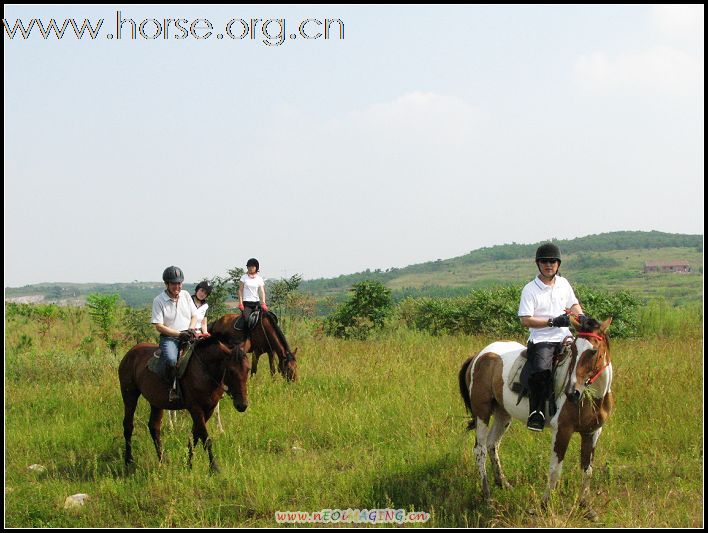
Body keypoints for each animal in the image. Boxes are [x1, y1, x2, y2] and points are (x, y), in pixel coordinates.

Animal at [116, 334, 249, 472]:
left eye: (248, 369)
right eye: (231, 371)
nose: (242, 405)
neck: (204, 370)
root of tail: (130, 353)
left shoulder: (209, 410)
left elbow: (194, 437)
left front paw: (188, 464)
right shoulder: (195, 408)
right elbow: (206, 438)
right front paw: (214, 468)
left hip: (156, 402)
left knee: (154, 427)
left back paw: (162, 460)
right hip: (130, 394)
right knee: (128, 426)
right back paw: (129, 461)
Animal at [460, 314, 612, 516]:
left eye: (593, 351)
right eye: (573, 350)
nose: (572, 393)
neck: (593, 398)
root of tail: (479, 356)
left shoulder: (593, 432)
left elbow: (587, 470)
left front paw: (586, 506)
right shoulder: (562, 430)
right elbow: (555, 470)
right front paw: (545, 506)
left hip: (503, 413)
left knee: (493, 444)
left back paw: (503, 483)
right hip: (481, 413)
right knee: (480, 449)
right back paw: (487, 495)